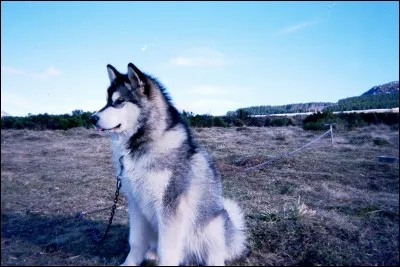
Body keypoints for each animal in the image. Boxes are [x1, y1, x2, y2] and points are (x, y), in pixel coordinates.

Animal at [91, 62, 247, 266]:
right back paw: (151, 254)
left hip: (215, 222)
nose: (92, 118)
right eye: (107, 101)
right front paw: (129, 263)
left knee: (216, 251)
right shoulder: (135, 203)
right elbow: (135, 241)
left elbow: (167, 247)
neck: (141, 144)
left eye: (119, 102)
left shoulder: (170, 205)